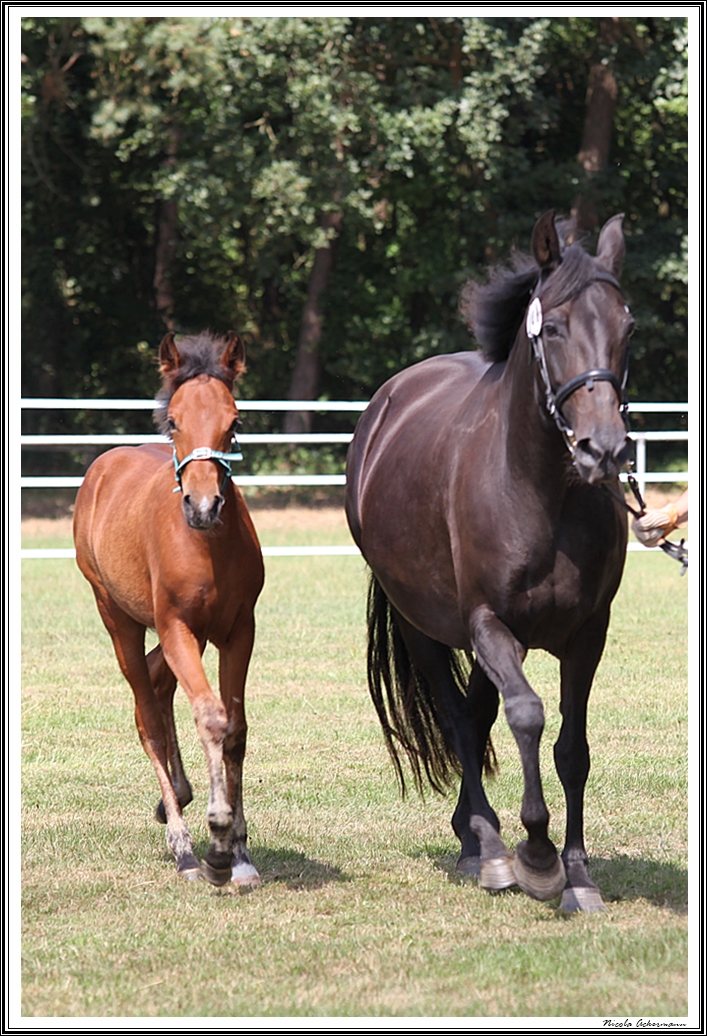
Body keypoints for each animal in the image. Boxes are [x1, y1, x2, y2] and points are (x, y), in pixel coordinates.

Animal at [73, 335, 264, 886]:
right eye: (174, 420)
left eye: (234, 420)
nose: (204, 506)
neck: (209, 546)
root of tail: (103, 467)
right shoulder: (176, 626)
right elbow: (211, 718)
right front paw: (218, 843)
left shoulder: (238, 631)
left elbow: (235, 729)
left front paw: (240, 853)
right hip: (119, 618)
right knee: (148, 715)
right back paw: (182, 845)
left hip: (187, 635)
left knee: (158, 687)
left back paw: (175, 797)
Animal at [344, 214, 630, 911]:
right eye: (553, 328)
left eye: (627, 326)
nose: (603, 449)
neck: (540, 492)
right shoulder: (489, 625)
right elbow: (526, 714)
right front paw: (536, 854)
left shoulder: (588, 634)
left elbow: (572, 749)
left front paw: (578, 877)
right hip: (423, 625)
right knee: (458, 718)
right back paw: (491, 849)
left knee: (474, 716)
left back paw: (473, 834)